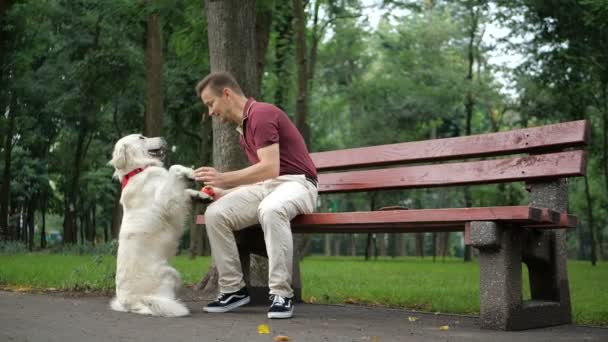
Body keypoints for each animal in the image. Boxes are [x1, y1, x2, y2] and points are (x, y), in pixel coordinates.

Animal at [105, 134, 208, 318]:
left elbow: (184, 192)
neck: (137, 170)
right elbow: (173, 169)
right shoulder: (165, 201)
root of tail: (128, 303)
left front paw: (200, 194)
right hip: (169, 274)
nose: (163, 138)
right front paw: (189, 172)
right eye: (141, 137)